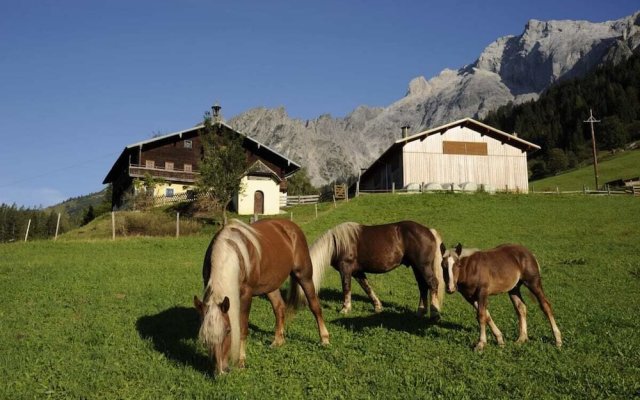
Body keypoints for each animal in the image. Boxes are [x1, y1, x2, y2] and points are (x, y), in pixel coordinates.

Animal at [192, 219, 330, 376]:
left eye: (228, 331)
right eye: (205, 337)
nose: (221, 371)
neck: (233, 254)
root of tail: (291, 226)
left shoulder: (246, 295)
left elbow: (243, 328)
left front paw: (241, 361)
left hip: (304, 275)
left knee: (314, 306)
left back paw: (324, 339)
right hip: (271, 285)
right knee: (279, 308)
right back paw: (278, 341)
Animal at [304, 220, 444, 320]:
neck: (337, 244)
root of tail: (429, 231)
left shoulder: (346, 270)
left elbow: (346, 288)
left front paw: (345, 309)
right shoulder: (357, 272)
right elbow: (367, 288)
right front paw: (378, 307)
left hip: (423, 266)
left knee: (432, 284)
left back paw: (434, 313)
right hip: (417, 268)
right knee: (423, 286)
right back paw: (420, 311)